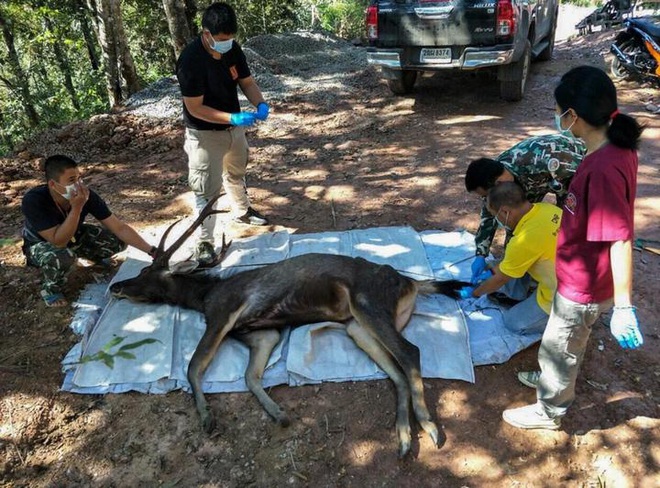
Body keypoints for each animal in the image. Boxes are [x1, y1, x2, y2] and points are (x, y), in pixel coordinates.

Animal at [109, 195, 470, 458]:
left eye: (145, 273)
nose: (116, 287)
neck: (204, 295)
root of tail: (411, 283)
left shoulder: (224, 313)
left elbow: (193, 366)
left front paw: (207, 417)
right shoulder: (262, 333)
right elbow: (249, 376)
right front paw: (279, 414)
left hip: (368, 302)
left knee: (410, 352)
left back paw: (430, 427)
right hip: (357, 326)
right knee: (396, 372)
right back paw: (405, 439)